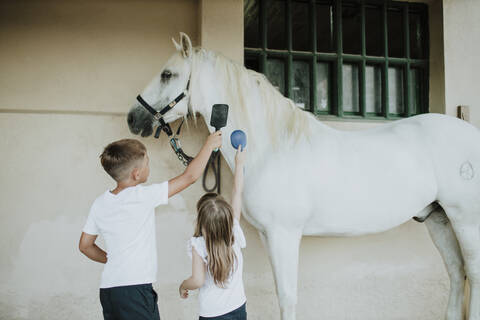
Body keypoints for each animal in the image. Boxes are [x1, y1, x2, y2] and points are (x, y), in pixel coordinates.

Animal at [127, 33, 480, 320]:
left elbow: (287, 297)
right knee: (456, 271)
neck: (272, 147)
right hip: (439, 219)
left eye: (167, 74)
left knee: (473, 273)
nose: (133, 118)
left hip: (465, 219)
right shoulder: (269, 235)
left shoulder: (284, 234)